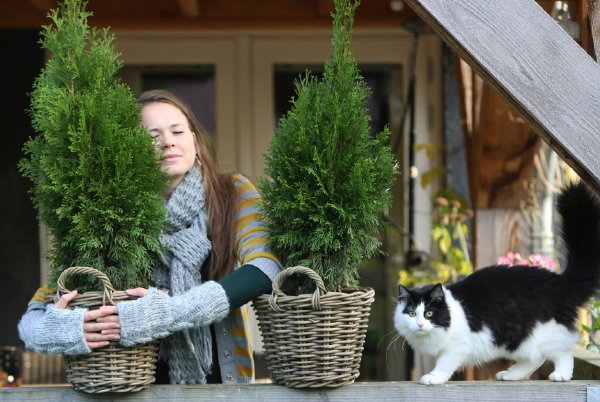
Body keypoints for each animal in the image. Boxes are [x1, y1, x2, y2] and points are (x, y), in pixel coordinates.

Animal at [392, 181, 600, 384]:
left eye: (428, 313)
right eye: (411, 314)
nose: (420, 324)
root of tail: (559, 281)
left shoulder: (457, 347)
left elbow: (444, 363)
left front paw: (434, 377)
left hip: (546, 332)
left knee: (563, 353)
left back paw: (561, 375)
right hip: (521, 341)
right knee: (535, 359)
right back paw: (511, 375)